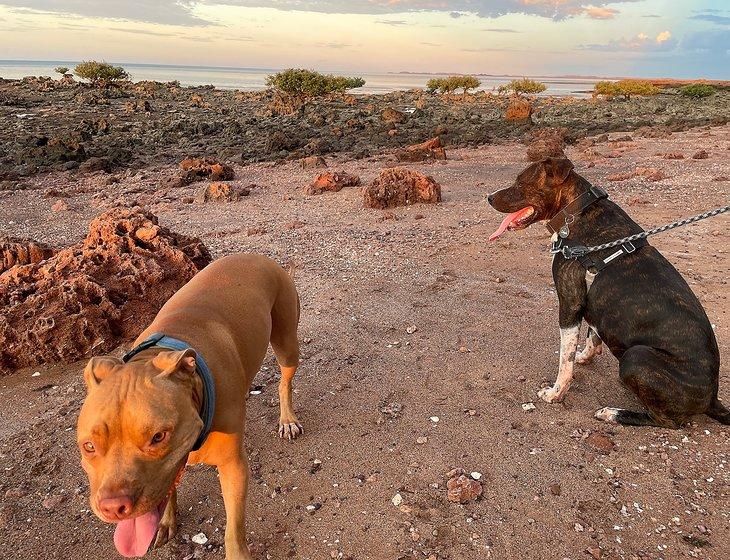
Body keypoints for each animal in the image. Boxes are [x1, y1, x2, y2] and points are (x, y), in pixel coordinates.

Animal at [74, 253, 302, 556]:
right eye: (89, 446)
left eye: (158, 437)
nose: (113, 507)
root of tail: (258, 256)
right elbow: (169, 489)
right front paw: (166, 521)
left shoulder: (233, 467)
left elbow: (234, 529)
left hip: (287, 344)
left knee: (284, 381)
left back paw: (287, 419)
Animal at [486, 158, 724, 428]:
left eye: (520, 182)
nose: (489, 198)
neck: (574, 212)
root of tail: (712, 398)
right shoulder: (591, 304)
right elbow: (592, 335)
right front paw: (585, 355)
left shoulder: (570, 304)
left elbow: (565, 359)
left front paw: (556, 393)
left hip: (636, 356)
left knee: (666, 421)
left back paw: (613, 413)